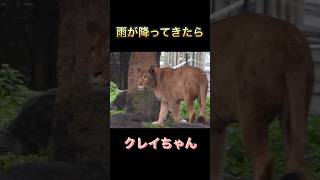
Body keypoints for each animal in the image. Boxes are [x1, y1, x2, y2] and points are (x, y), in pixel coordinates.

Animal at [211, 13, 314, 180]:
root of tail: (290, 38)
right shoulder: (216, 127)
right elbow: (215, 167)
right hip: (294, 112)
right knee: (297, 161)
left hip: (251, 114)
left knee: (265, 159)